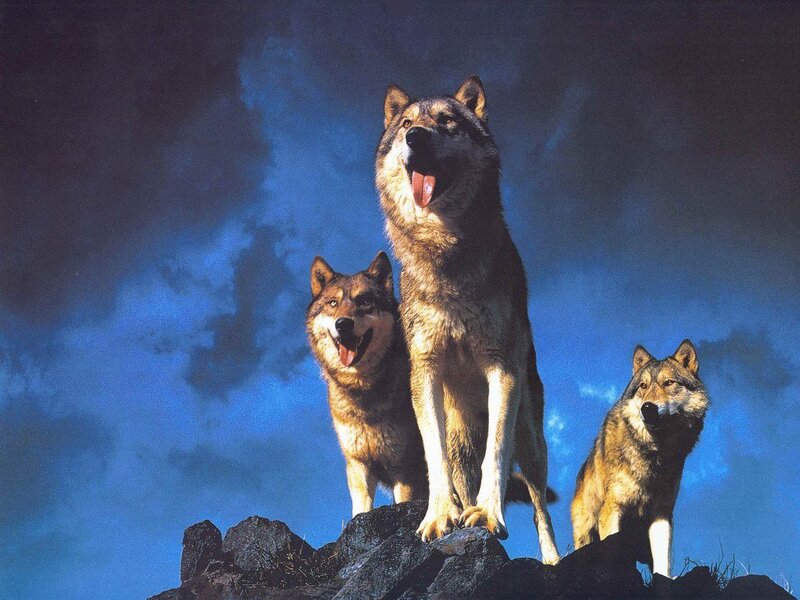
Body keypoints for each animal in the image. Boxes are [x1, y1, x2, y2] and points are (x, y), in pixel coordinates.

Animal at [306, 252, 427, 516]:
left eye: (365, 301)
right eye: (333, 303)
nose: (343, 324)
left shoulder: (405, 467)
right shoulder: (358, 465)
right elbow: (361, 510)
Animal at [375, 75, 560, 564]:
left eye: (447, 122)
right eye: (407, 124)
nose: (416, 137)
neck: (446, 257)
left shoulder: (502, 370)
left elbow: (496, 453)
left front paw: (489, 516)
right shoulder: (426, 375)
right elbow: (433, 459)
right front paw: (440, 517)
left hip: (533, 443)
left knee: (539, 504)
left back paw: (553, 559)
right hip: (460, 435)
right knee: (459, 471)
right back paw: (459, 508)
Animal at [571, 340, 709, 578]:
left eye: (668, 383)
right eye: (643, 386)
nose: (648, 407)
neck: (653, 453)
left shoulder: (662, 514)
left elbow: (663, 562)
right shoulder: (612, 509)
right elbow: (612, 554)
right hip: (585, 532)